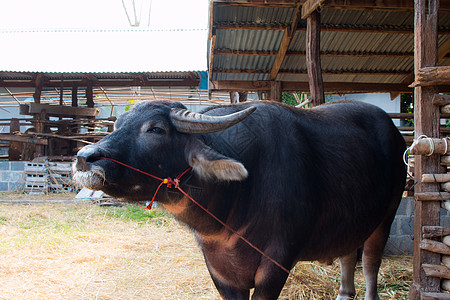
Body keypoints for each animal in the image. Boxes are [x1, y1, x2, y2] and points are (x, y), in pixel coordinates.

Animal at [73, 99, 404, 298]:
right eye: (117, 125)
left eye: (155, 129)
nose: (84, 158)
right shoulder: (220, 271)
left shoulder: (277, 263)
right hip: (352, 217)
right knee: (348, 253)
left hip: (386, 216)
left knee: (370, 261)